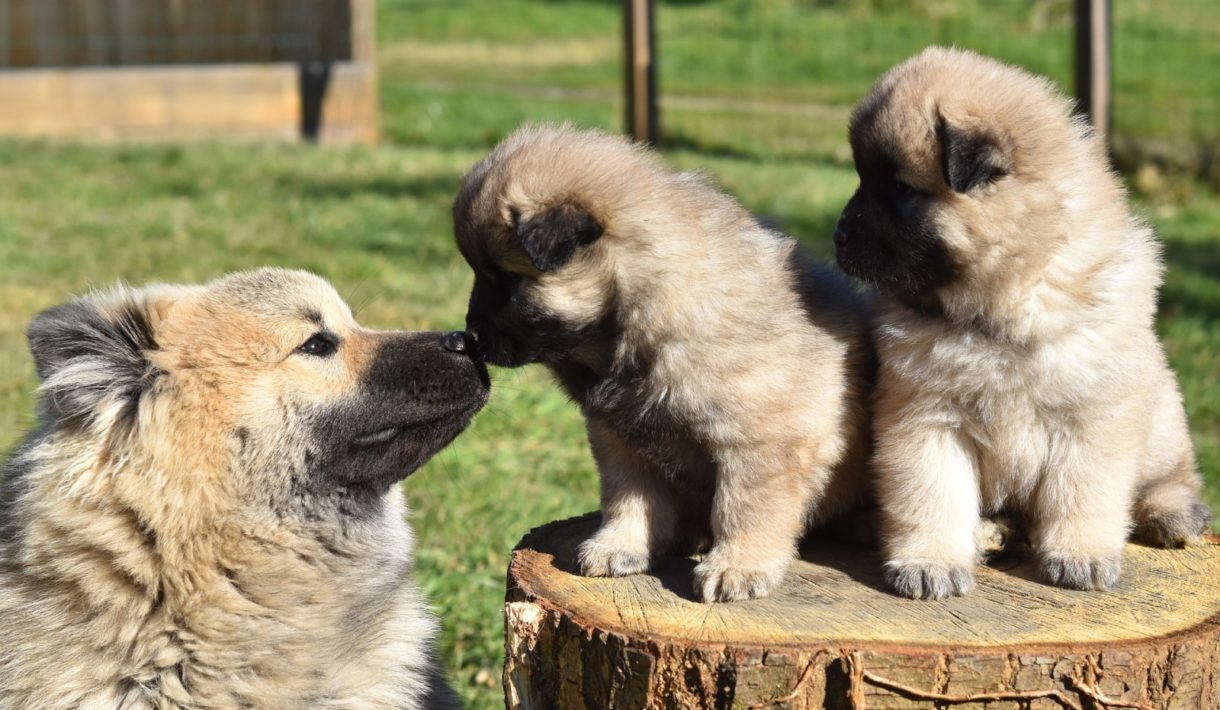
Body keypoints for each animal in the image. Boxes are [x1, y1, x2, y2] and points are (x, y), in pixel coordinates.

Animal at [453, 125, 873, 605]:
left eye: (508, 280)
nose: (470, 336)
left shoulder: (760, 444)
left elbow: (744, 509)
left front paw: (737, 567)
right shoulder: (620, 438)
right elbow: (629, 498)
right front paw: (621, 546)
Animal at [834, 46, 1205, 600]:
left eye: (899, 189)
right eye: (863, 179)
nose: (836, 236)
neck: (1001, 305)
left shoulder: (1091, 418)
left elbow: (1084, 492)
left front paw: (1080, 556)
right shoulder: (925, 417)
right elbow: (932, 495)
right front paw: (930, 562)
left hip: (1159, 411)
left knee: (1171, 475)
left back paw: (1172, 513)